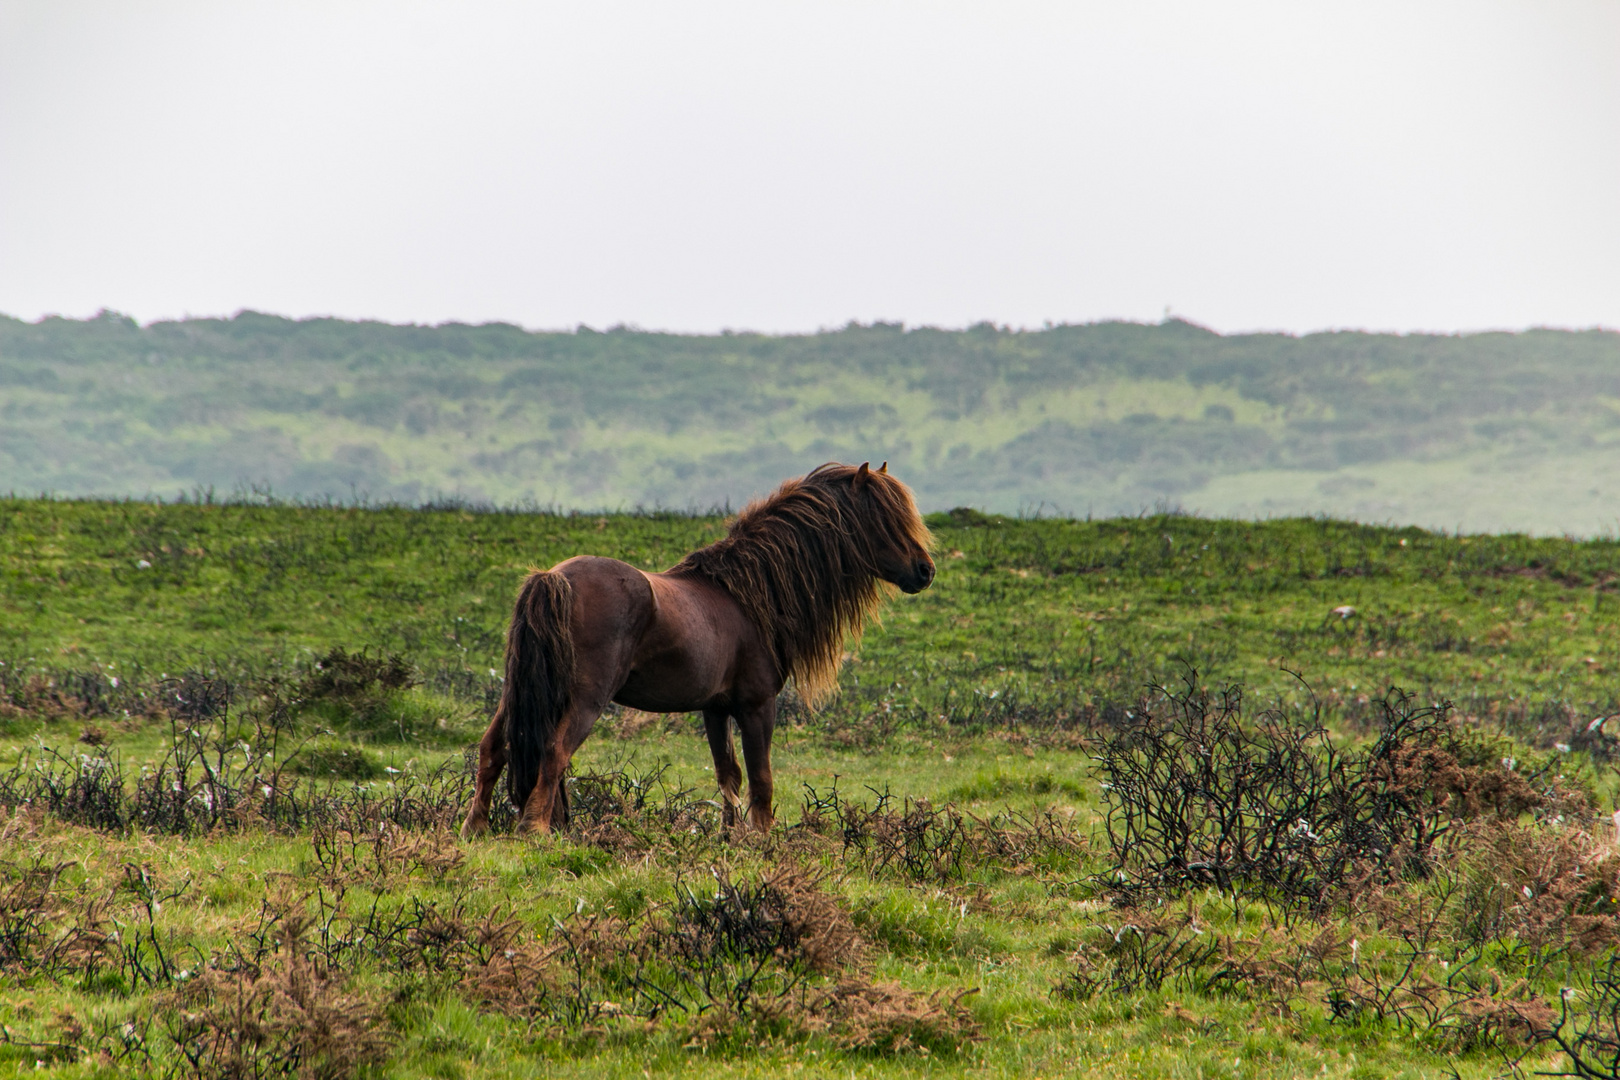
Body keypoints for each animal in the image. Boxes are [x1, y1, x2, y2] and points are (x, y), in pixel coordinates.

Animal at [460, 463, 939, 835]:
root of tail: (552, 579)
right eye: (884, 519)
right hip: (584, 699)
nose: (925, 570)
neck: (746, 596)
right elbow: (761, 779)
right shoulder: (757, 706)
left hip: (519, 692)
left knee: (493, 748)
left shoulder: (716, 708)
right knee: (554, 752)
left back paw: (476, 827)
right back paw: (534, 828)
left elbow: (729, 775)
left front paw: (730, 837)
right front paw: (762, 841)